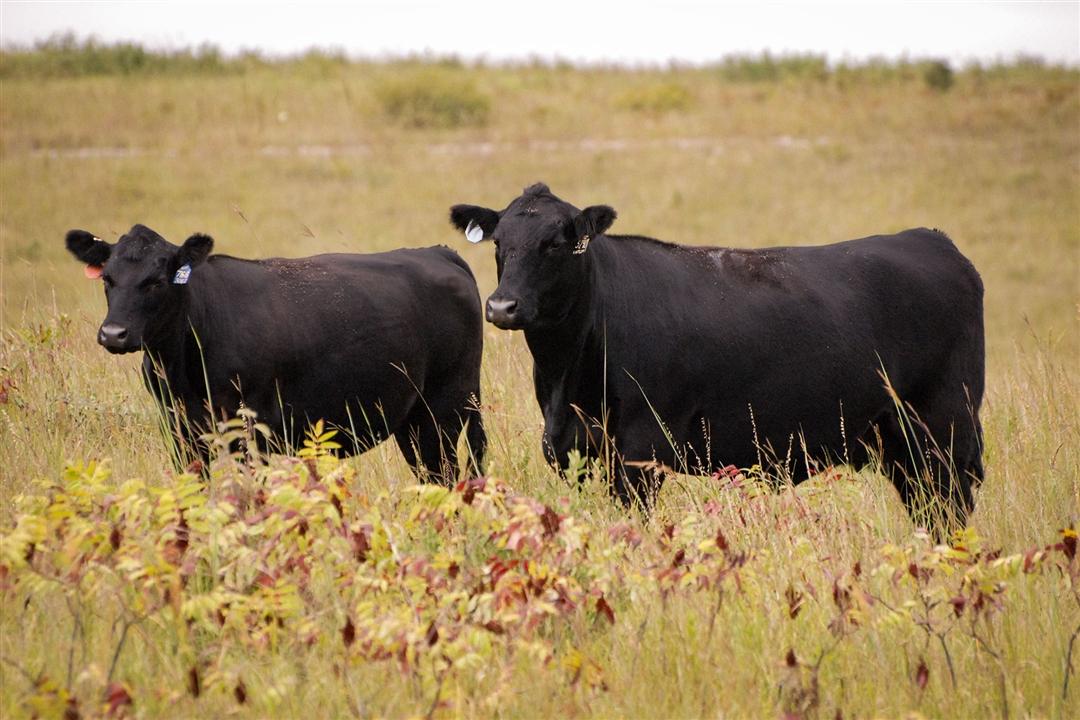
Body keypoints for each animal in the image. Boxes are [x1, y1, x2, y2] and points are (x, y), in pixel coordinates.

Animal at [66, 224, 486, 482]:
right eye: (108, 279)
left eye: (155, 281)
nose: (114, 334)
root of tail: (438, 253)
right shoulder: (180, 429)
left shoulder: (252, 430)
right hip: (413, 421)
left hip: (445, 409)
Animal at [451, 183, 984, 527]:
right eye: (499, 243)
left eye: (556, 244)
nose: (502, 306)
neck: (568, 372)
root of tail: (930, 238)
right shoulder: (575, 450)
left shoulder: (641, 451)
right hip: (899, 444)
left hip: (946, 431)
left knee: (952, 509)